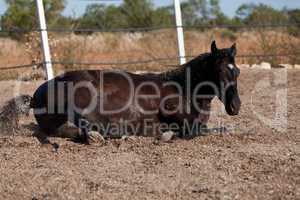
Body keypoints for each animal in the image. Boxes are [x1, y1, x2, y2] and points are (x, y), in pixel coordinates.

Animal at [14, 41, 241, 144]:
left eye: (237, 71)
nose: (235, 106)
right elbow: (200, 131)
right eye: (219, 70)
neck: (183, 89)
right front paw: (166, 135)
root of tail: (38, 93)